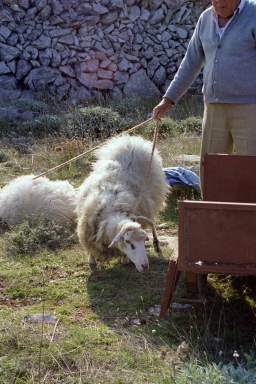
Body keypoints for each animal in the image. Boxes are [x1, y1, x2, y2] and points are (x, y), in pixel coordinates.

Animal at [76, 135, 168, 272]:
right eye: (128, 242)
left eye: (144, 241)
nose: (145, 266)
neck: (110, 212)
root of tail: (132, 140)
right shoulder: (87, 231)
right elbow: (91, 250)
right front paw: (91, 260)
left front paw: (125, 259)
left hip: (152, 197)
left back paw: (156, 244)